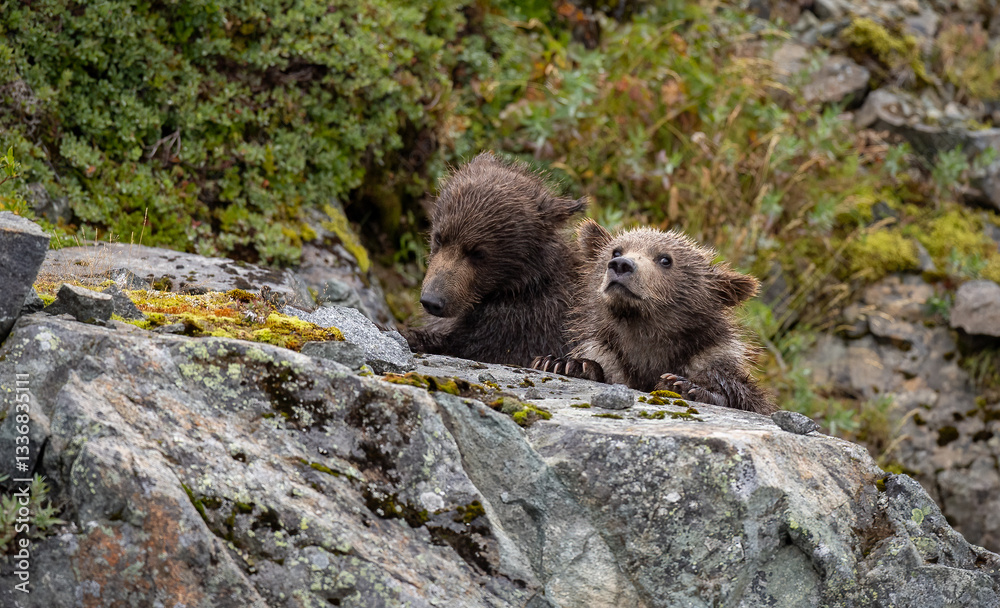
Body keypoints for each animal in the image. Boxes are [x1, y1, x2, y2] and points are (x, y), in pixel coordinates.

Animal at [532, 219, 775, 414]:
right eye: (616, 251)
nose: (621, 265)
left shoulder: (711, 359)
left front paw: (683, 385)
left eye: (665, 259)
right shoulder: (611, 357)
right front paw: (564, 363)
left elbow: (743, 396)